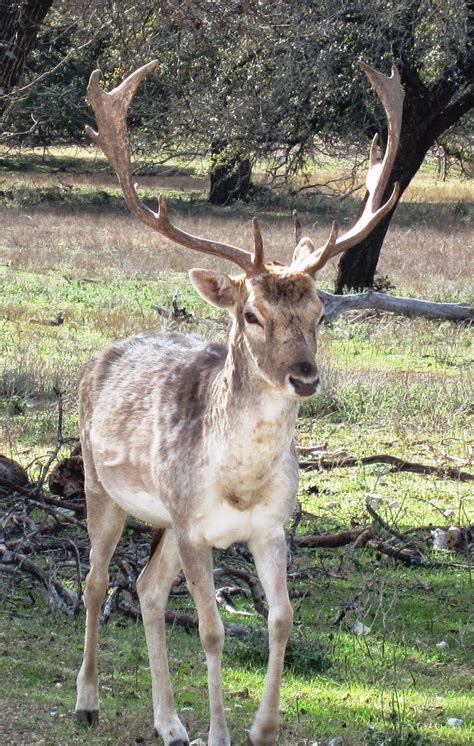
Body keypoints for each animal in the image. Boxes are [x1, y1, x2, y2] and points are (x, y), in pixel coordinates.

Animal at [76, 61, 402, 740]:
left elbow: (281, 619)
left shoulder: (272, 528)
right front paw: (221, 732)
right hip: (100, 484)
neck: (241, 484)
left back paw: (170, 723)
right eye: (252, 314)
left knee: (145, 588)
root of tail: (99, 358)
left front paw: (261, 729)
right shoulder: (193, 525)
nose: (305, 377)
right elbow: (212, 629)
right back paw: (88, 701)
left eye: (319, 312)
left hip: (161, 522)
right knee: (95, 581)